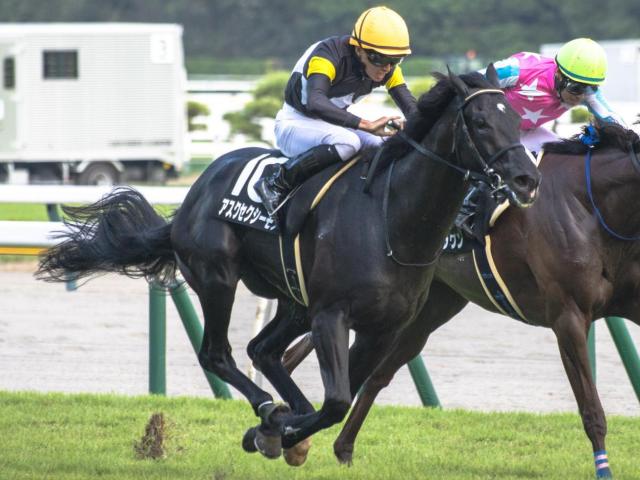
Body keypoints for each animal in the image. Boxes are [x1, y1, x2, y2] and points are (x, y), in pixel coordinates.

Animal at [36, 67, 540, 463]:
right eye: (480, 121)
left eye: (516, 119)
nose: (526, 179)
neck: (391, 219)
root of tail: (191, 198)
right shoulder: (331, 314)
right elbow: (335, 401)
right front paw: (279, 433)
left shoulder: (383, 327)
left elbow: (346, 393)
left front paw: (285, 432)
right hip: (218, 278)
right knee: (218, 353)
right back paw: (267, 409)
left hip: (292, 299)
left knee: (263, 350)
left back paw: (278, 415)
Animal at [283, 124, 640, 477]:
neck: (590, 206)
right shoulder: (568, 315)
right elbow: (590, 408)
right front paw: (604, 469)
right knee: (301, 351)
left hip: (425, 311)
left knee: (376, 375)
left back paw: (340, 448)